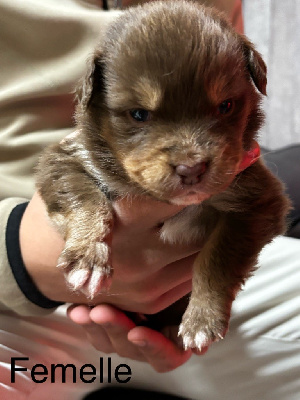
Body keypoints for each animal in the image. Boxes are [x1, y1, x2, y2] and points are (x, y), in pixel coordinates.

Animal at [35, 0, 290, 350]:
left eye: (225, 106)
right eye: (139, 114)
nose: (191, 169)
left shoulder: (259, 200)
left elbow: (217, 258)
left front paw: (201, 320)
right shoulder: (64, 158)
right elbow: (84, 197)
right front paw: (88, 258)